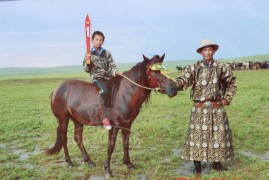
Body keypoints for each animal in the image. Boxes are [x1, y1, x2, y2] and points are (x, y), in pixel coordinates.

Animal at [45, 53, 177, 177]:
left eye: (166, 69)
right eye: (156, 71)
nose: (174, 88)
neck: (125, 93)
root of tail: (56, 90)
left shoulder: (127, 124)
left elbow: (126, 144)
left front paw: (129, 164)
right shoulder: (114, 126)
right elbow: (111, 147)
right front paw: (108, 170)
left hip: (77, 120)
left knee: (78, 138)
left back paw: (89, 161)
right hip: (63, 119)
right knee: (64, 138)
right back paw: (69, 162)